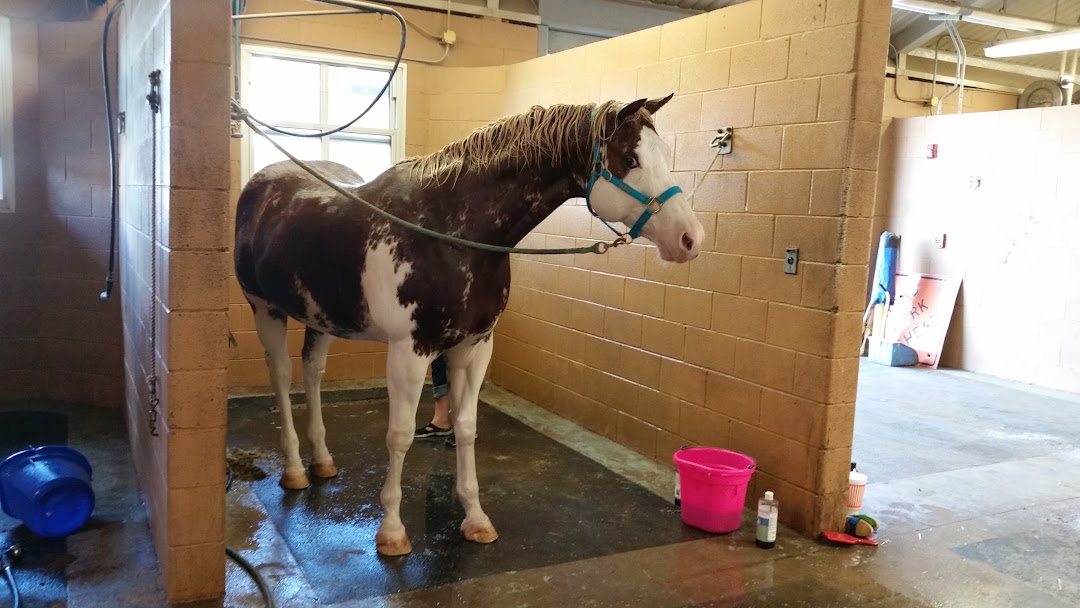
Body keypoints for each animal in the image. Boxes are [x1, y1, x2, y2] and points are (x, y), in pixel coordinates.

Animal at [234, 93, 708, 557]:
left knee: (312, 373)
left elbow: (465, 427)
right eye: (629, 158)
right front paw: (392, 531)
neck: (450, 230)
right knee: (282, 377)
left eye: (664, 154)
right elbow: (400, 435)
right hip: (265, 310)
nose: (690, 239)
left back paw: (322, 461)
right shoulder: (409, 352)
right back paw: (295, 468)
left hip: (321, 317)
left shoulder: (475, 346)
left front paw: (475, 518)